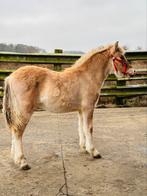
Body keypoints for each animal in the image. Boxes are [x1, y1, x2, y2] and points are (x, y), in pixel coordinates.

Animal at [2, 41, 135, 170]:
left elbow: (82, 128)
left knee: (14, 130)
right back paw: (22, 162)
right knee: (18, 132)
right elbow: (89, 128)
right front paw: (94, 152)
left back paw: (15, 158)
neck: (88, 76)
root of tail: (10, 77)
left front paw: (84, 148)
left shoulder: (81, 110)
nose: (133, 72)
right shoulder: (88, 108)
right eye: (121, 57)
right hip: (24, 112)